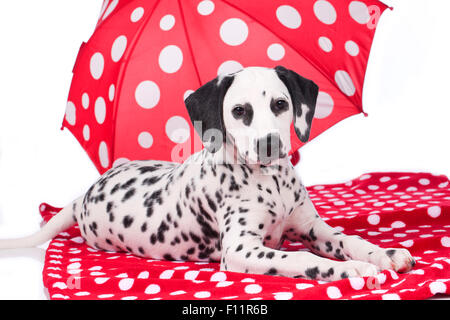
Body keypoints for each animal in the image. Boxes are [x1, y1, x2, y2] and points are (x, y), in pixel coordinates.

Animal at [0, 66, 414, 282]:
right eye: (239, 111)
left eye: (281, 104)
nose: (268, 143)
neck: (271, 183)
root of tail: (83, 195)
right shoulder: (242, 250)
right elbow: (299, 260)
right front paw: (354, 270)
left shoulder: (312, 227)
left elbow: (349, 239)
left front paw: (383, 253)